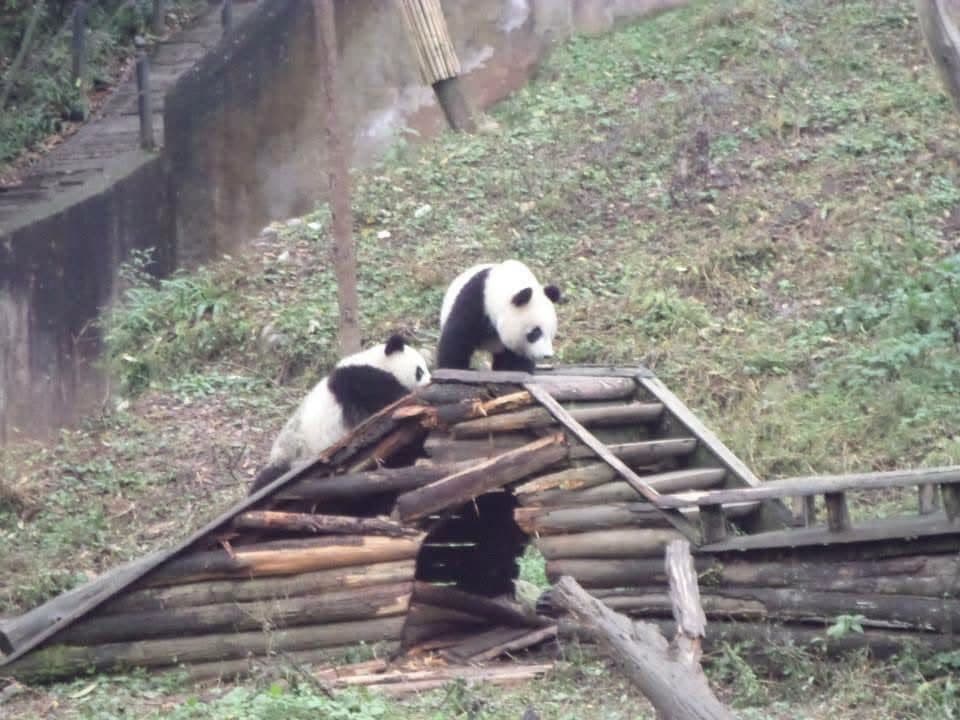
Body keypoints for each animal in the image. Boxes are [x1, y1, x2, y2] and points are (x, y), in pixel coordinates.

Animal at [249, 334, 432, 494]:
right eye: (420, 371)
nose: (430, 381)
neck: (378, 362)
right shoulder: (358, 378)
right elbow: (382, 395)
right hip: (293, 454)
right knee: (266, 479)